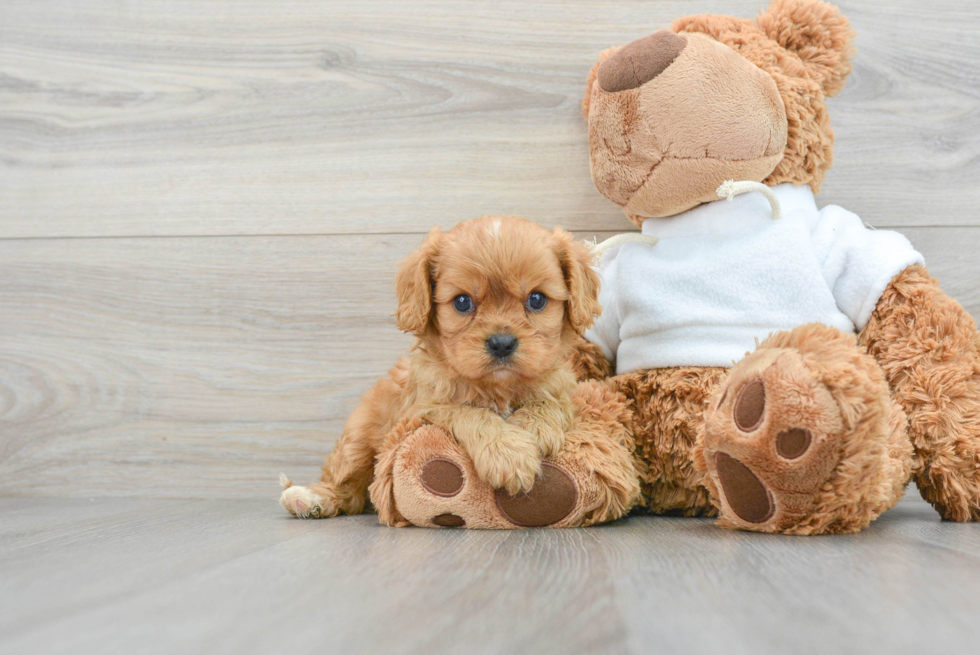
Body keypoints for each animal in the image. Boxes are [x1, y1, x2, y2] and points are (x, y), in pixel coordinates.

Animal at [278, 215, 596, 516]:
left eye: (537, 299)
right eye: (462, 302)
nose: (502, 343)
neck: (498, 387)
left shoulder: (562, 388)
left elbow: (549, 402)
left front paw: (534, 428)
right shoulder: (423, 409)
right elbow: (469, 412)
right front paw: (508, 452)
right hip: (359, 436)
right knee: (347, 486)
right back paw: (308, 498)